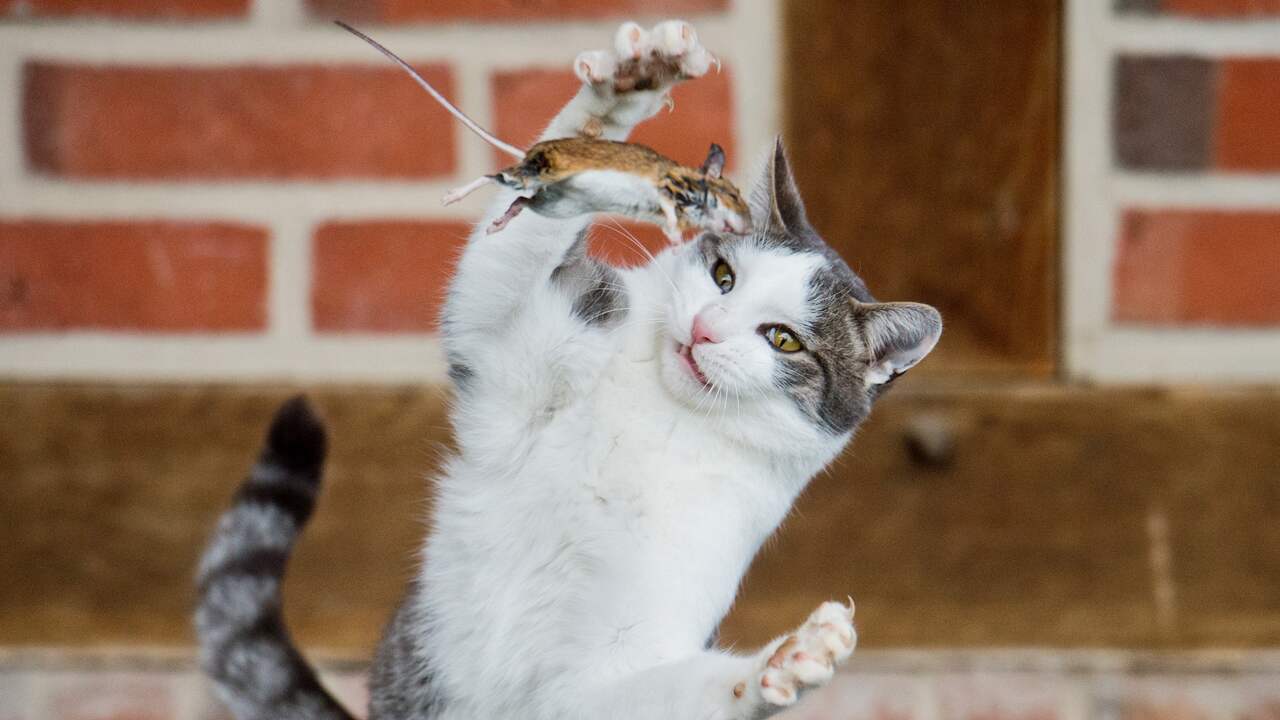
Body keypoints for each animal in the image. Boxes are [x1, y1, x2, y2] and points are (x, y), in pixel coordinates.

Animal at [197, 18, 942, 717]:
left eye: (784, 340)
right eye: (723, 275)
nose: (706, 328)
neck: (663, 420)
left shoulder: (608, 670)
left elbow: (669, 689)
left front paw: (787, 660)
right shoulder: (510, 338)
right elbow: (512, 245)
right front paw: (630, 86)